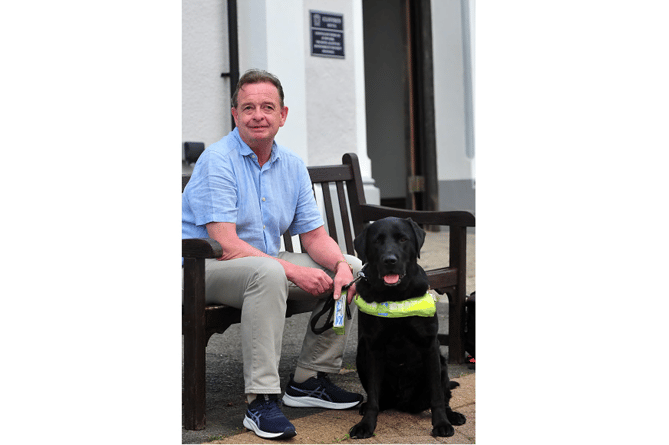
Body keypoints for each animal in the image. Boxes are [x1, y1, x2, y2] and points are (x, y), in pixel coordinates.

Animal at [348, 217, 468, 438]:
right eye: (377, 241)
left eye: (403, 239)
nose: (390, 260)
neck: (395, 296)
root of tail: (403, 403)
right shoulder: (373, 348)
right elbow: (374, 396)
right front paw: (366, 424)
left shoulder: (430, 346)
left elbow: (437, 396)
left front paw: (441, 424)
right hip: (361, 354)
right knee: (379, 398)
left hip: (441, 364)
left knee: (444, 395)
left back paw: (452, 416)